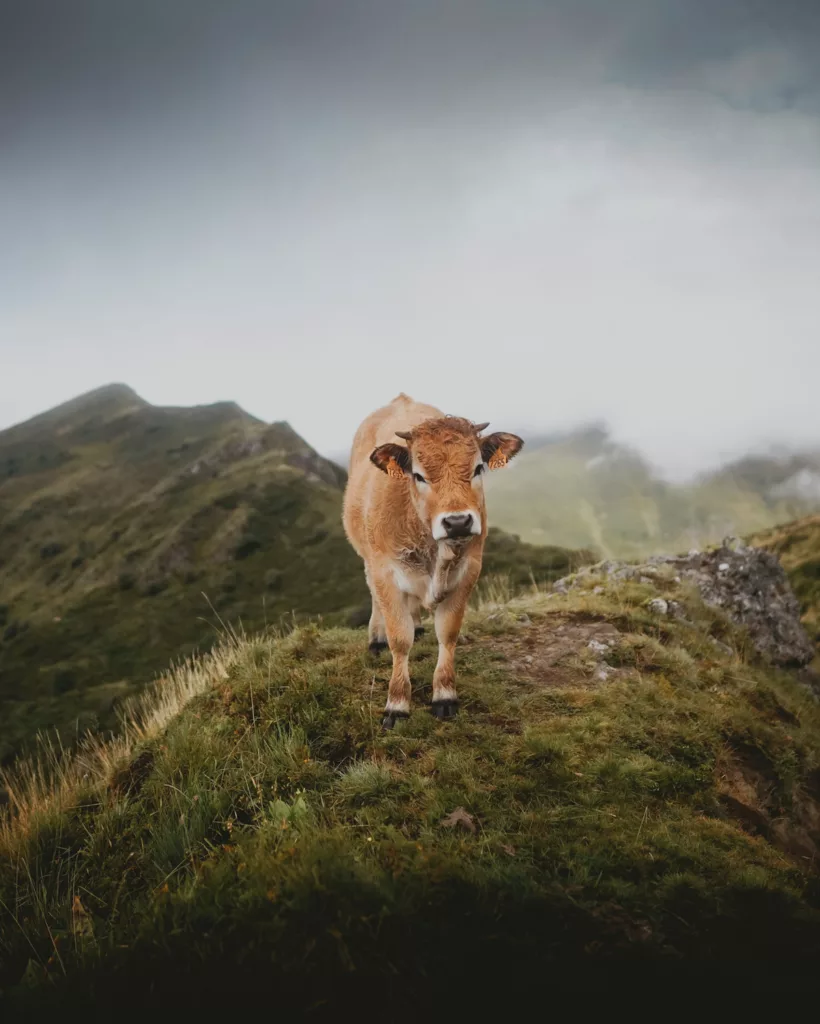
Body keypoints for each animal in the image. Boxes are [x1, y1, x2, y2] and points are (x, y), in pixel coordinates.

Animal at [343, 393, 524, 728]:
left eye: (478, 468)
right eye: (418, 475)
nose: (458, 522)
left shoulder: (468, 570)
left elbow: (448, 632)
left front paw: (444, 695)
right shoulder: (386, 572)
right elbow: (400, 639)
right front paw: (397, 703)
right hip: (368, 557)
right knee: (374, 596)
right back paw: (377, 637)